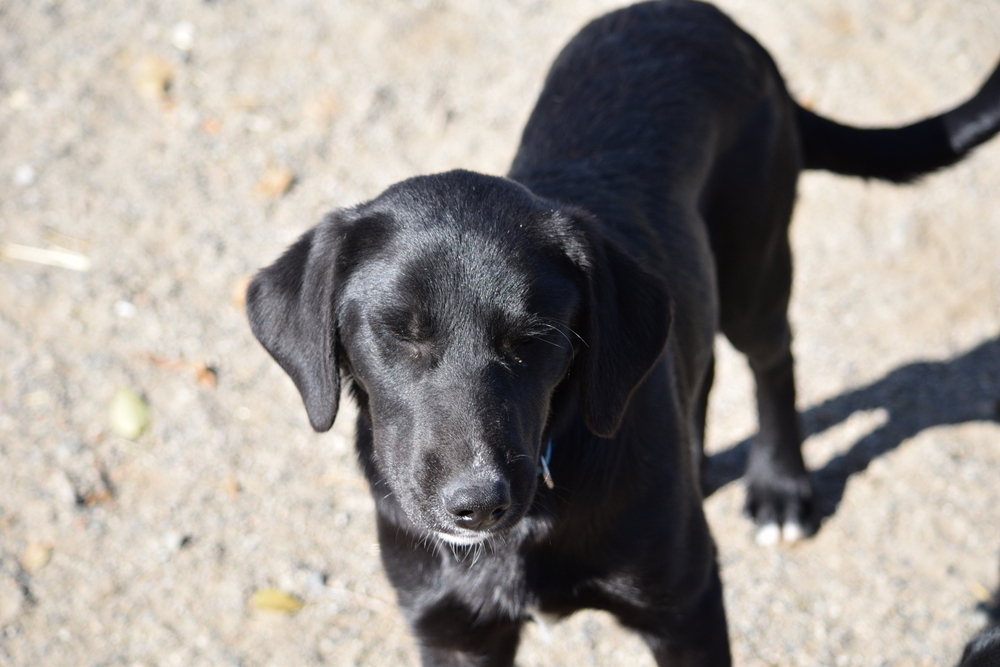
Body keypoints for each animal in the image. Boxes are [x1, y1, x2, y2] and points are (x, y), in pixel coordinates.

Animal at [248, 2, 1000, 664]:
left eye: (536, 336)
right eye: (398, 333)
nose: (477, 504)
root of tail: (714, 19)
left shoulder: (687, 608)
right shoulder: (454, 631)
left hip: (754, 264)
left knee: (773, 357)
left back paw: (781, 485)